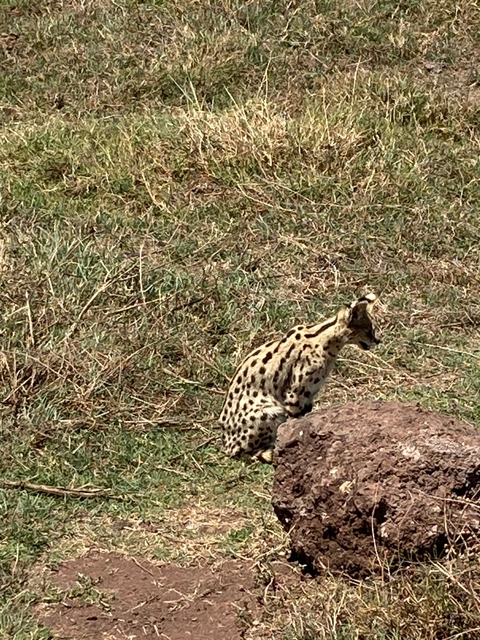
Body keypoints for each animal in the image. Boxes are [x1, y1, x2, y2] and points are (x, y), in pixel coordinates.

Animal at [219, 293, 380, 463]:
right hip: (269, 410)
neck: (324, 340)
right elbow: (294, 421)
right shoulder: (295, 393)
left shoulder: (309, 395)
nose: (378, 341)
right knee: (246, 452)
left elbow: (305, 418)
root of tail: (226, 445)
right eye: (369, 330)